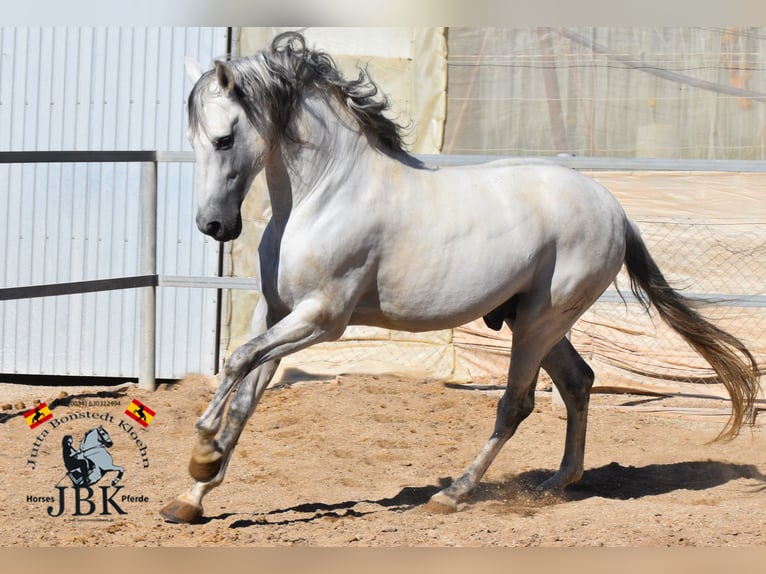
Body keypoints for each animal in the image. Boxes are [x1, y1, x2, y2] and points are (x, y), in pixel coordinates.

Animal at [159, 32, 760, 528]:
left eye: (223, 139)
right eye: (193, 141)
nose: (214, 226)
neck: (323, 195)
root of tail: (613, 207)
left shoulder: (322, 320)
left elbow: (236, 363)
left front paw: (203, 450)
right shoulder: (278, 313)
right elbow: (245, 392)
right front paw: (191, 497)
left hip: (540, 320)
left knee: (517, 404)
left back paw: (454, 494)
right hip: (532, 319)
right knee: (579, 382)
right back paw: (555, 483)